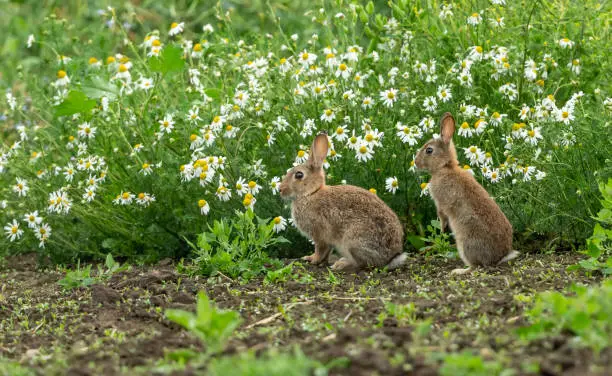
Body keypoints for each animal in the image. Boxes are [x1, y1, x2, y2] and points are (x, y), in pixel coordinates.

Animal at [280, 134, 406, 272]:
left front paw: (313, 259)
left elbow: (320, 249)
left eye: (299, 175)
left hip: (352, 241)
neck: (311, 193)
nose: (280, 189)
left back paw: (341, 264)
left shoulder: (320, 234)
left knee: (364, 264)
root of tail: (390, 258)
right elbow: (326, 252)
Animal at [414, 111, 520, 274]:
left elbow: (442, 216)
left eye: (429, 150)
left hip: (465, 244)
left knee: (476, 266)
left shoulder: (441, 203)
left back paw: (459, 271)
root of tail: (499, 257)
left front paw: (442, 229)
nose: (415, 162)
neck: (445, 167)